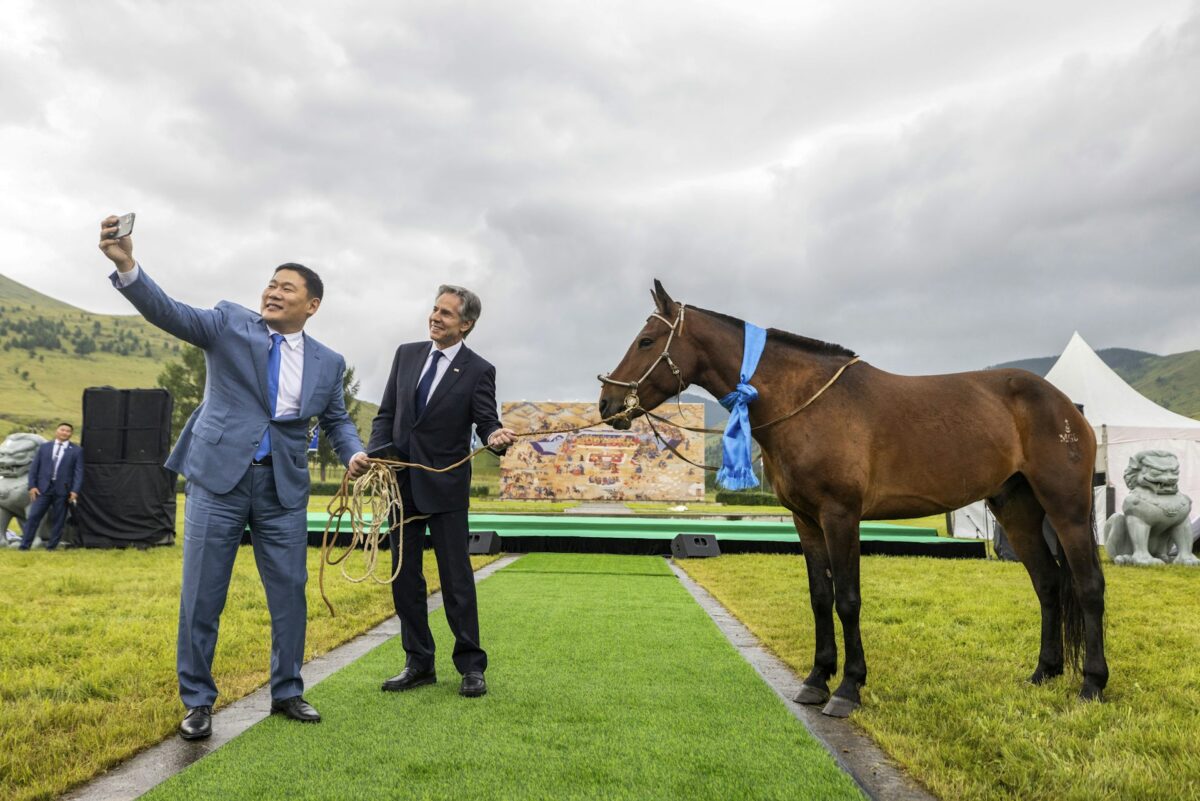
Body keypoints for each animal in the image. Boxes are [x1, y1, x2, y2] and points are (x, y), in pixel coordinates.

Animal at [597, 282, 1104, 719]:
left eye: (646, 341)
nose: (607, 403)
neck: (806, 402)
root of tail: (1066, 406)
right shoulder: (806, 520)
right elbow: (821, 597)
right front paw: (816, 679)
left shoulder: (841, 516)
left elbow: (847, 599)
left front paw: (848, 688)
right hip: (1016, 510)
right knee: (1048, 584)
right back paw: (1044, 673)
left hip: (1067, 508)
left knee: (1088, 585)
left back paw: (1092, 684)